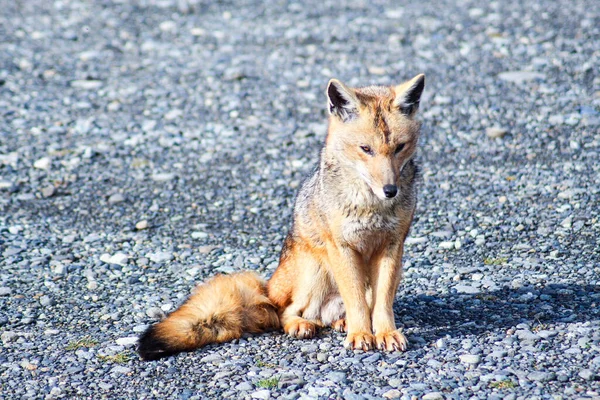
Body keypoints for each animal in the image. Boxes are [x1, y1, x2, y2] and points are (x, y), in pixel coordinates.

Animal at [138, 73, 424, 360]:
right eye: (365, 149)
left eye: (399, 147)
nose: (390, 190)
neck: (371, 207)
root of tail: (266, 290)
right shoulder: (341, 246)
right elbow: (355, 301)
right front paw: (361, 334)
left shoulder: (392, 246)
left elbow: (381, 303)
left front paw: (385, 333)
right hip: (315, 272)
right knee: (285, 313)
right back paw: (301, 324)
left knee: (334, 314)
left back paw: (341, 322)